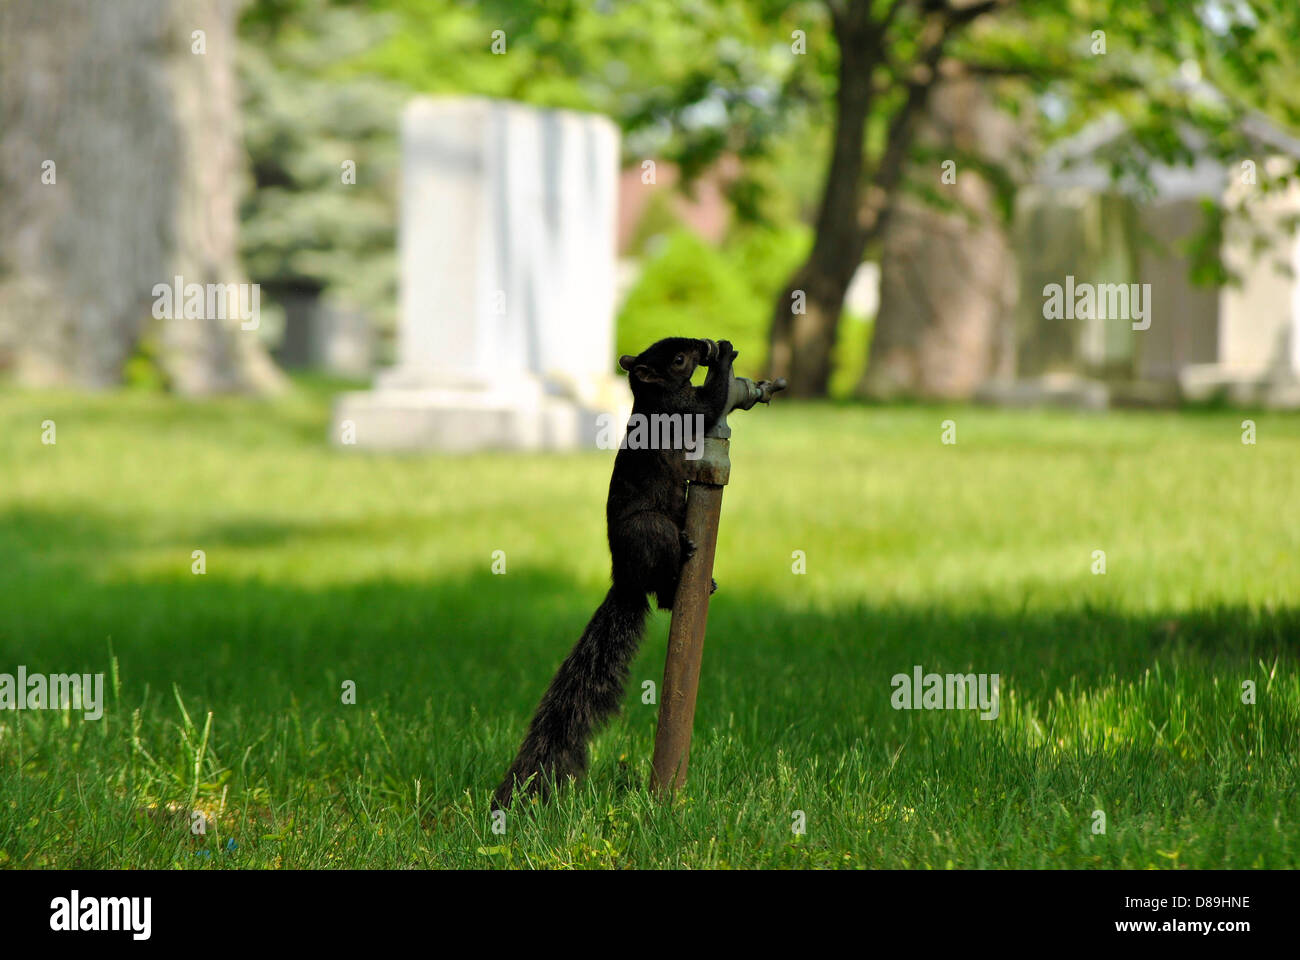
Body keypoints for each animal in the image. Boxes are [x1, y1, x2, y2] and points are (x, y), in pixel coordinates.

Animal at [491, 333, 738, 806]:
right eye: (679, 358)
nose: (701, 346)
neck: (652, 397)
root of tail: (624, 579)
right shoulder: (683, 410)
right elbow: (709, 404)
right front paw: (726, 356)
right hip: (652, 530)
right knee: (663, 589)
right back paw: (684, 561)